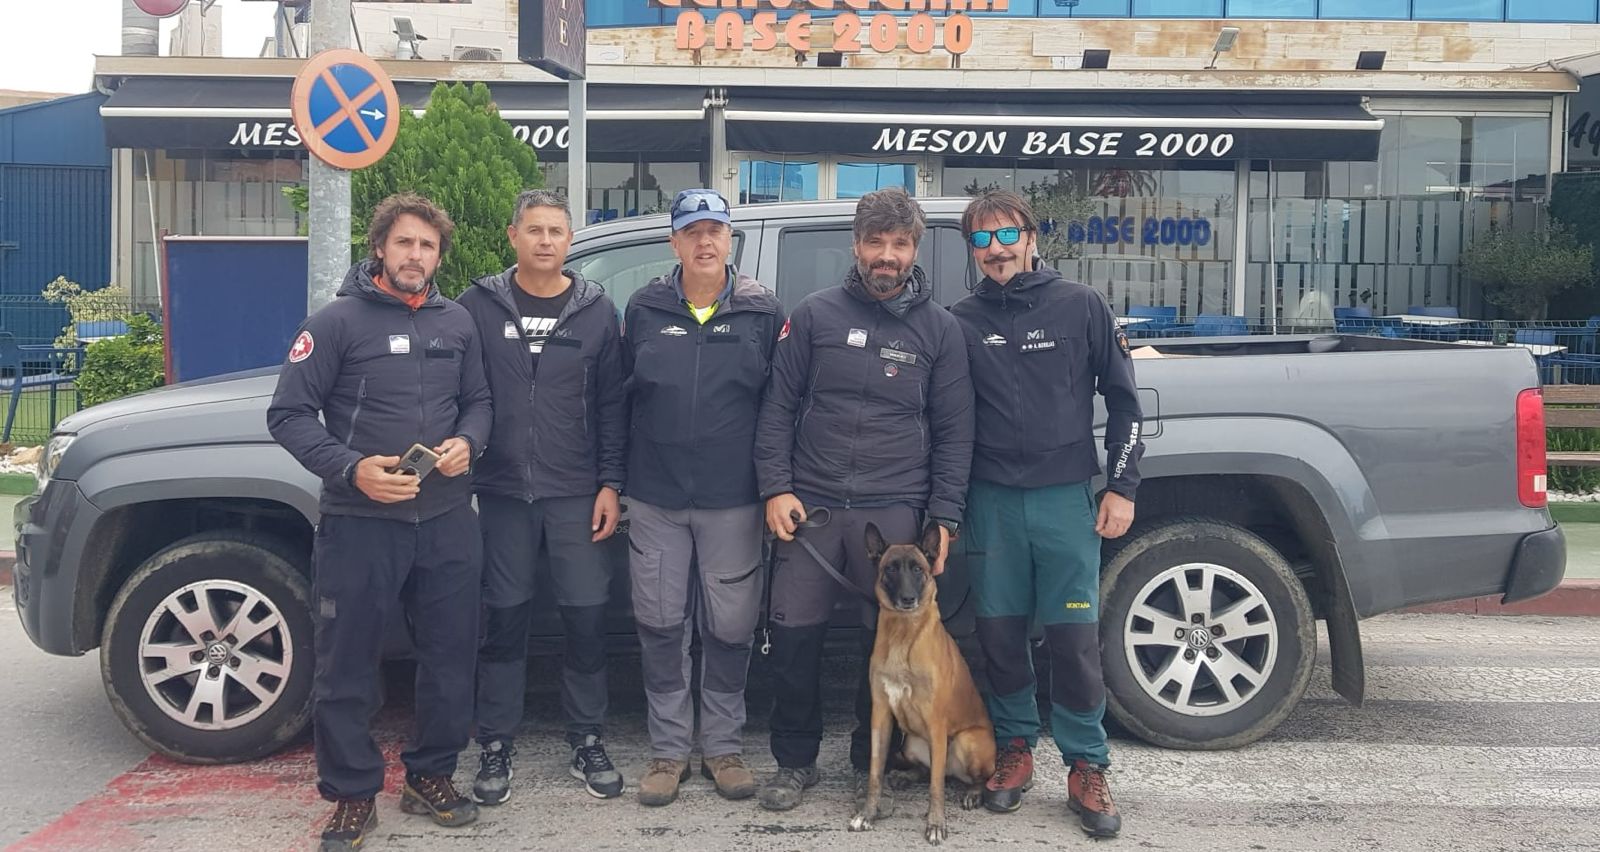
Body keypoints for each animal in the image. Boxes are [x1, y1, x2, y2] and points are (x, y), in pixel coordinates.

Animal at [844, 522, 992, 839]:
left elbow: (936, 787)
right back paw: (905, 776)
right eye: (890, 569)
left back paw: (973, 793)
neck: (903, 634)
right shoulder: (880, 717)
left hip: (966, 741)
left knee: (973, 777)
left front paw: (935, 823)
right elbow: (875, 773)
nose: (908, 599)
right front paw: (868, 814)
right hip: (911, 742)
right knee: (927, 770)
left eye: (917, 569)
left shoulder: (936, 723)